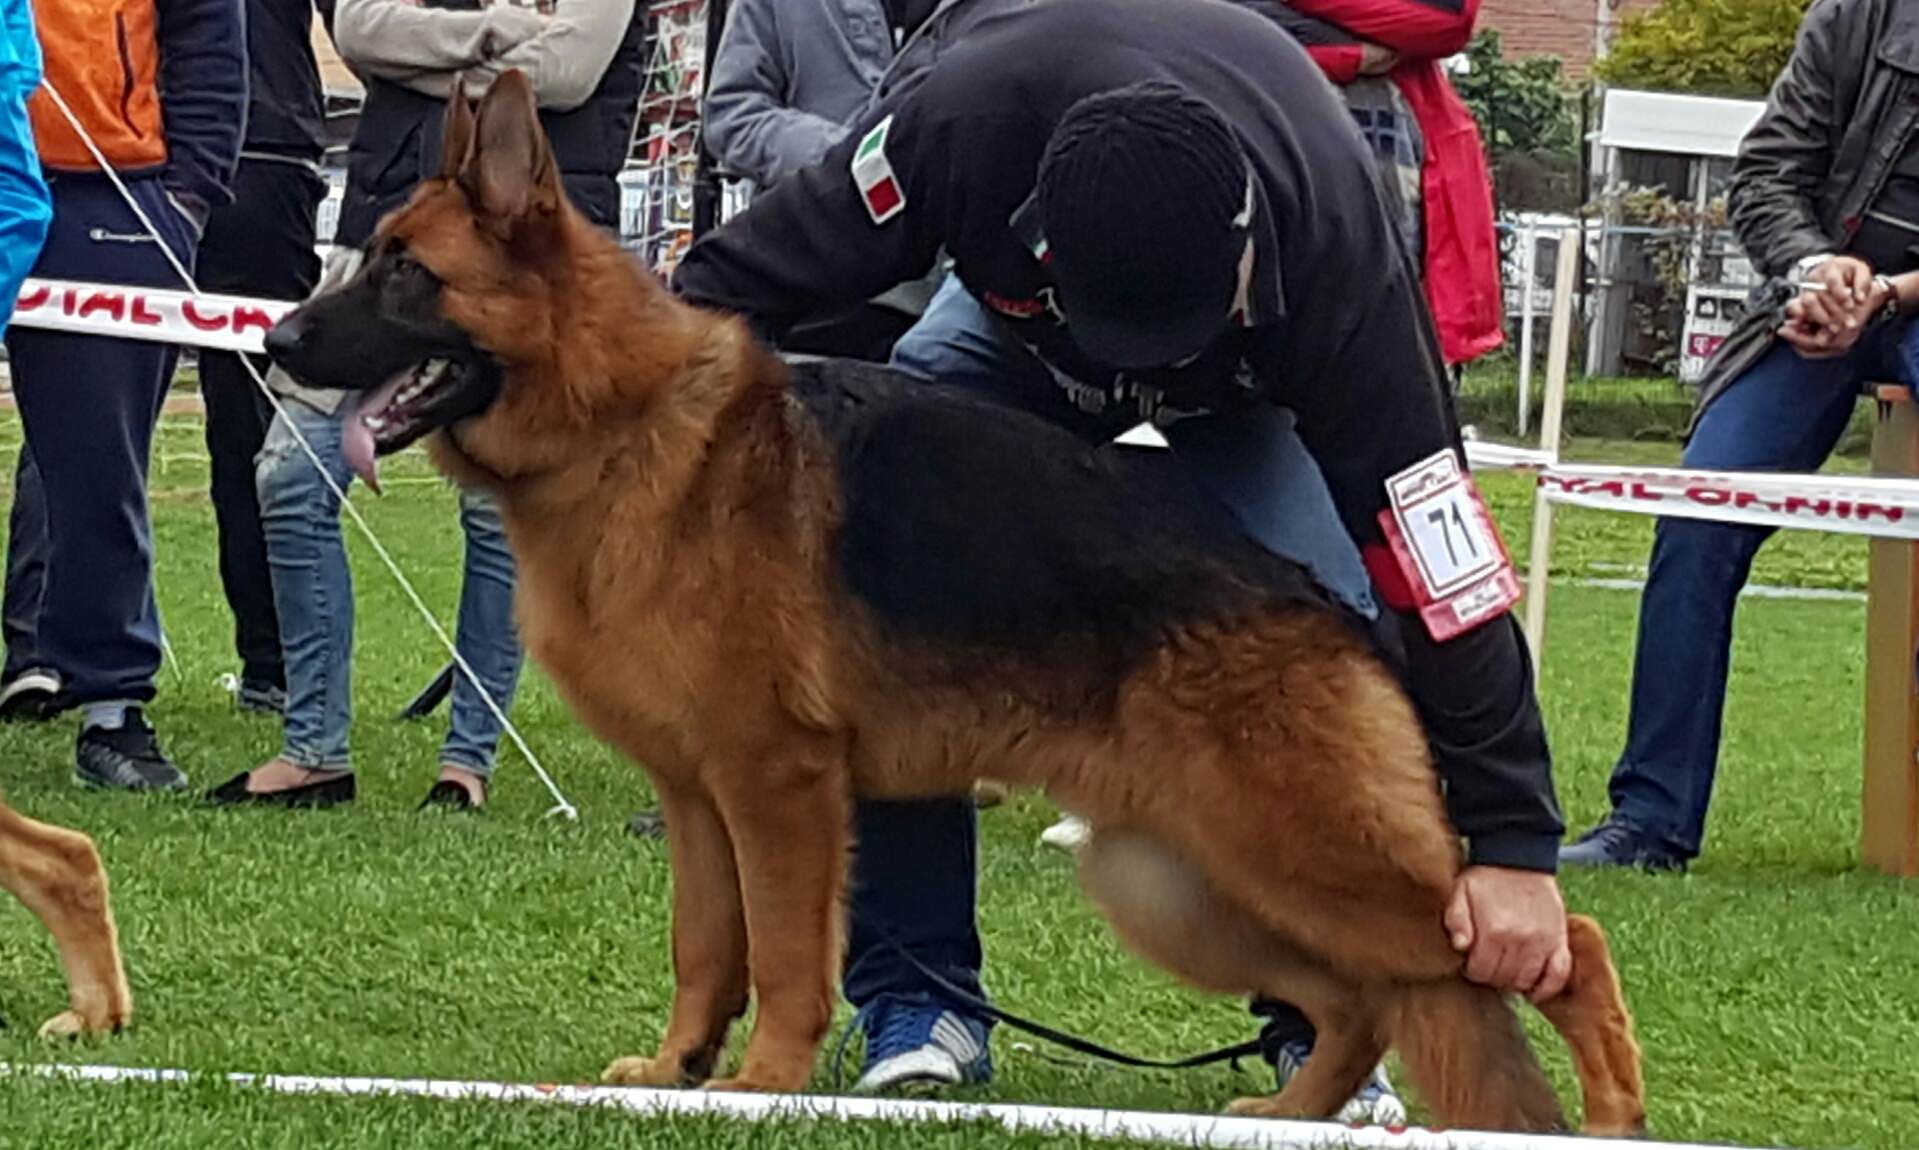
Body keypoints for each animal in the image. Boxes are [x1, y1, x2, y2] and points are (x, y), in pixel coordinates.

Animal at [266, 74, 1650, 1136]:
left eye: (404, 274)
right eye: (366, 259)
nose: (275, 343)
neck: (620, 419)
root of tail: (1331, 612)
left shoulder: (778, 789)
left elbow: (784, 957)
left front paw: (763, 1085)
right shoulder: (699, 801)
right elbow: (704, 948)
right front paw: (673, 1072)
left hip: (1299, 858)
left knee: (1554, 944)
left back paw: (1604, 1118)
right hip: (1178, 884)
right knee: (1363, 996)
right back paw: (1295, 1111)